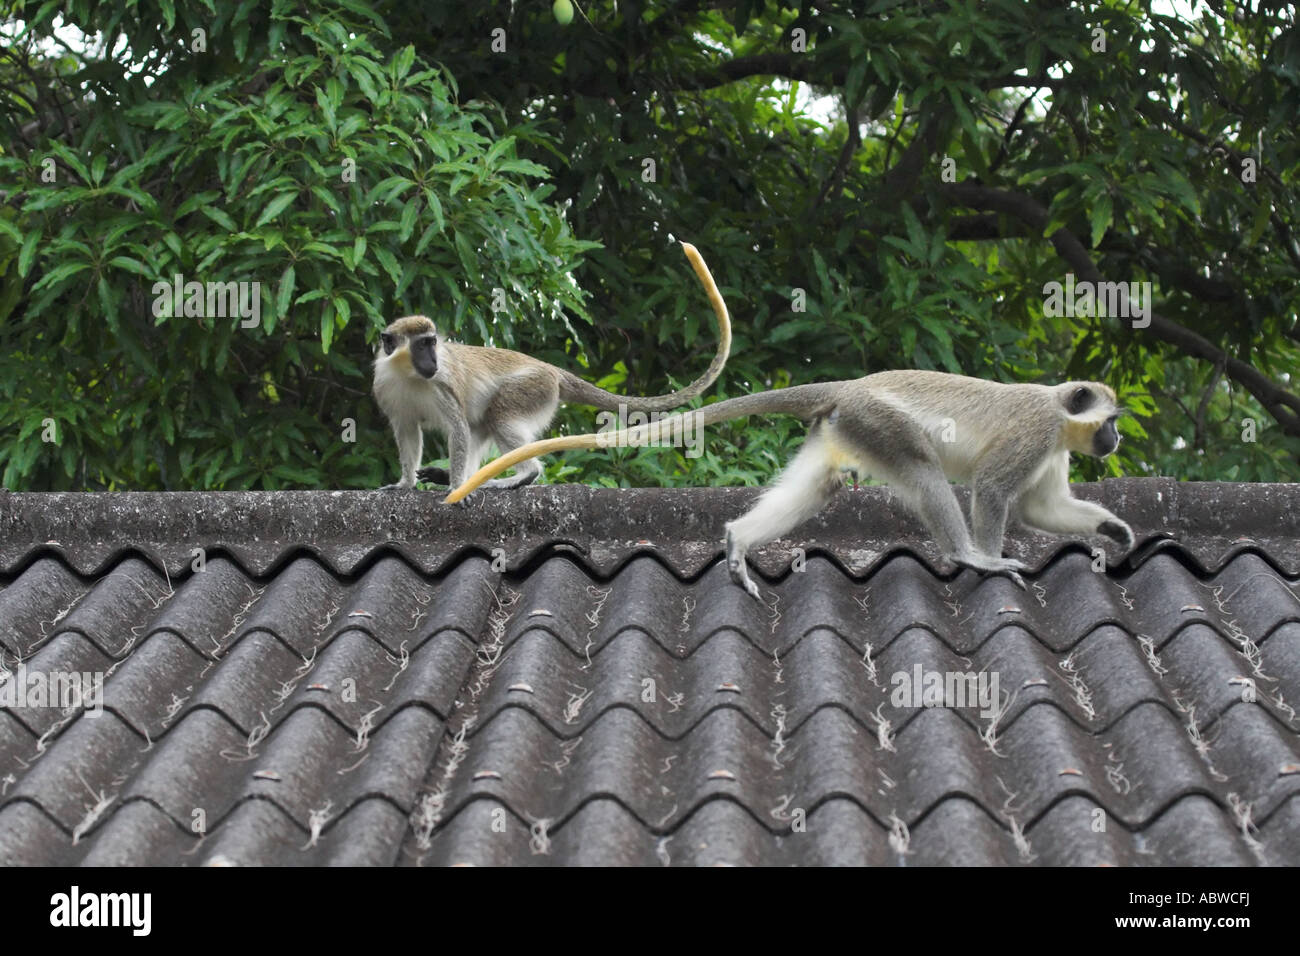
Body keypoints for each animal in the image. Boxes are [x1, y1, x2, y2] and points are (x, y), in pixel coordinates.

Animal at [374, 243, 733, 496]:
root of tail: (551, 369)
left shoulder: (441, 386)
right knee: (482, 423)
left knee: (497, 417)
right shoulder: (385, 389)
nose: (435, 362)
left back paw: (520, 475)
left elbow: (458, 429)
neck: (409, 375)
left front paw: (455, 488)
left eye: (433, 343)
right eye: (422, 345)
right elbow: (408, 431)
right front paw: (405, 484)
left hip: (533, 387)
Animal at [441, 369, 1133, 595]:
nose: (1116, 440)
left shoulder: (1054, 450)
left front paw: (1115, 529)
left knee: (821, 484)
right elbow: (992, 491)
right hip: (878, 422)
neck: (1060, 416)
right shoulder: (1036, 433)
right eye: (1112, 420)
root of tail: (852, 386)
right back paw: (966, 555)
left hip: (844, 427)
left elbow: (1043, 508)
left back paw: (739, 540)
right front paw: (988, 558)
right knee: (922, 470)